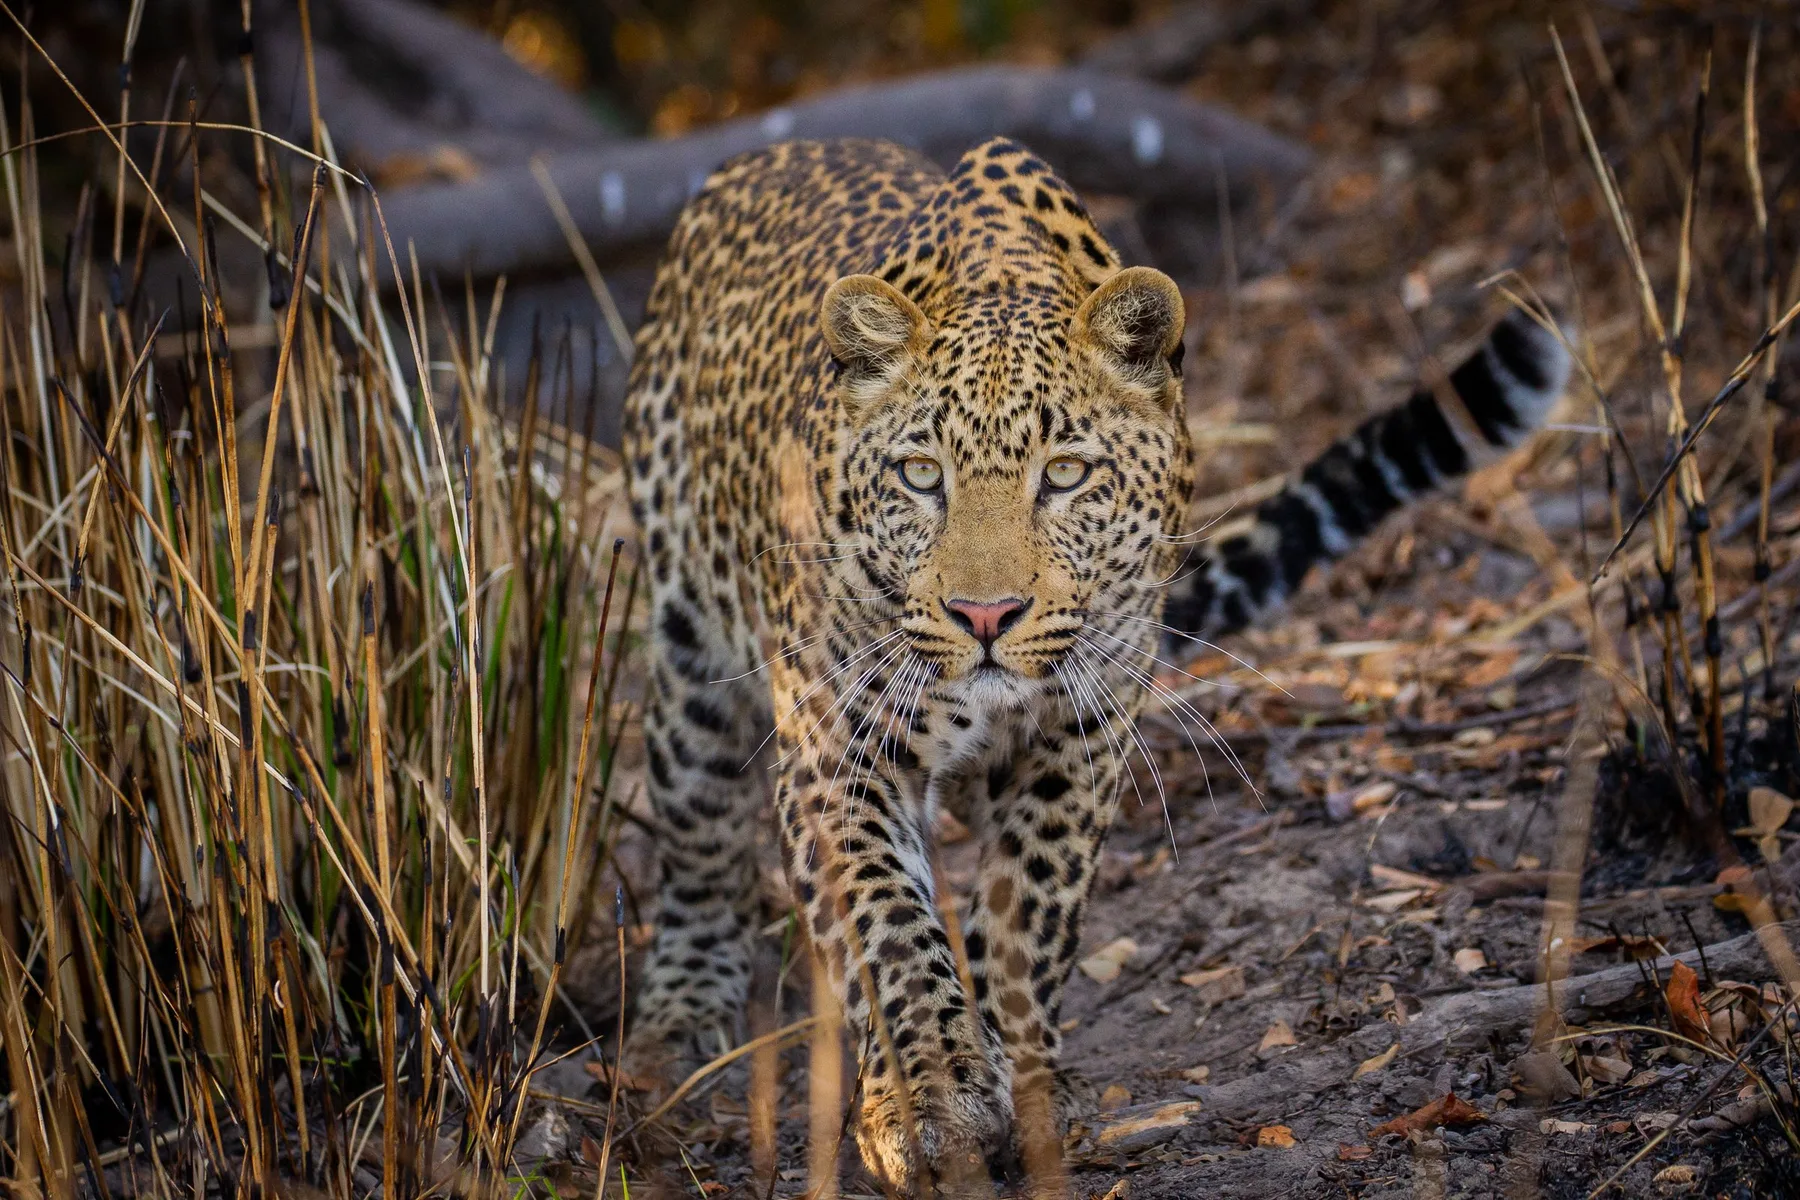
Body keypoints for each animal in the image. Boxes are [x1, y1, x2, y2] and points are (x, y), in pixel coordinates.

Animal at [619, 135, 1570, 1194]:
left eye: (1066, 475)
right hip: (686, 649)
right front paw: (931, 1103)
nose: (985, 615)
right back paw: (678, 1018)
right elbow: (888, 928)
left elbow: (1027, 918)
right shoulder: (839, 745)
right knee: (697, 836)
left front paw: (1025, 1083)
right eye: (920, 475)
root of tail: (773, 150)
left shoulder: (1082, 735)